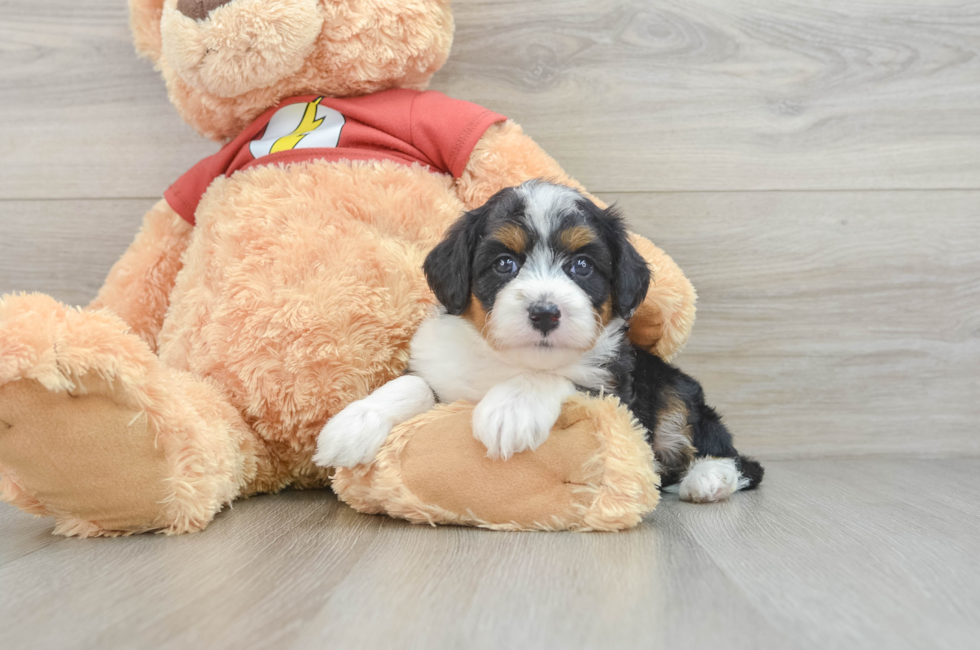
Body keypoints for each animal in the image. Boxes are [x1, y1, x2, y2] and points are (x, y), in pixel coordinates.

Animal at [318, 180, 760, 504]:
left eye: (581, 265)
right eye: (504, 263)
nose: (545, 313)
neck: (508, 360)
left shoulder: (612, 386)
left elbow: (556, 376)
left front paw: (511, 409)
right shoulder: (442, 370)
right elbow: (412, 384)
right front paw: (355, 423)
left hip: (677, 390)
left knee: (731, 453)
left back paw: (710, 478)